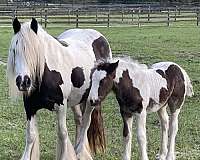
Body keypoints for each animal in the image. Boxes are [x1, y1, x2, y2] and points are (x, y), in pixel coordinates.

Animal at [6, 17, 111, 160]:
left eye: (35, 51)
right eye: (14, 51)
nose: (23, 82)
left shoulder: (61, 106)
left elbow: (62, 133)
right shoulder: (29, 106)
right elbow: (30, 135)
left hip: (91, 99)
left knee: (85, 123)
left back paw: (80, 152)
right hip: (76, 99)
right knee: (79, 120)